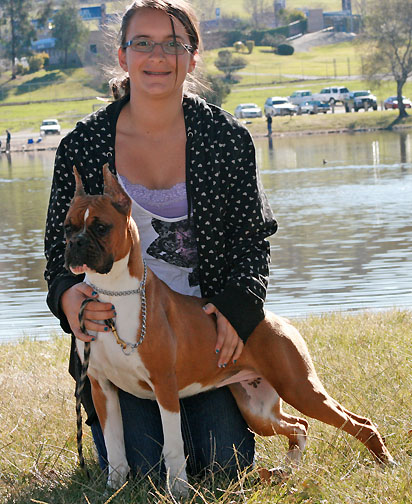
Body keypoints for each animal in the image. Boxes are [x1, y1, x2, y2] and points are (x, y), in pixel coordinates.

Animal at [64, 164, 393, 496]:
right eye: (67, 227)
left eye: (101, 227)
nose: (74, 243)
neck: (114, 293)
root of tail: (277, 320)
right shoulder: (103, 389)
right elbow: (115, 447)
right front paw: (113, 489)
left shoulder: (165, 389)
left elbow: (173, 447)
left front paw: (179, 492)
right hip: (258, 411)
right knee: (299, 427)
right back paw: (285, 471)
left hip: (300, 389)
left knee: (358, 423)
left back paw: (385, 463)